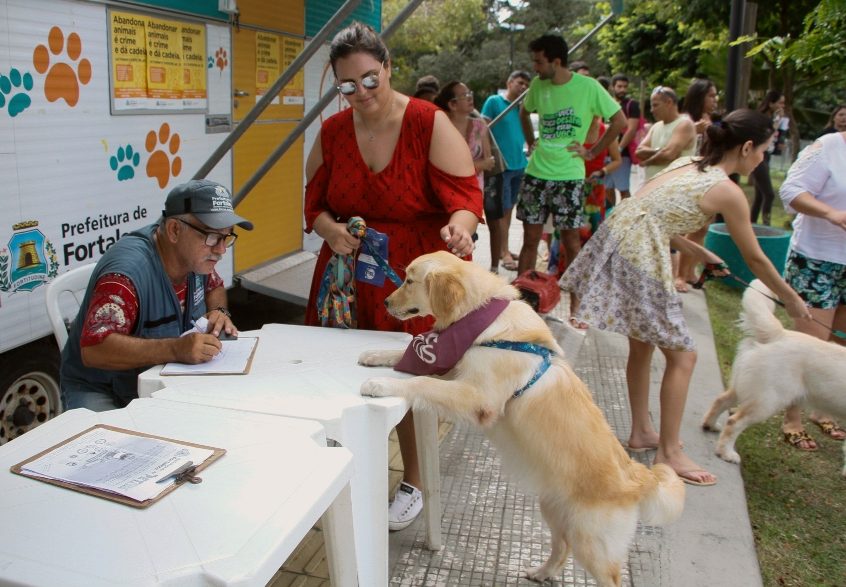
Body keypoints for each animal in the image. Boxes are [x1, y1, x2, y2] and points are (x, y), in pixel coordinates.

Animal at [362, 250, 684, 584]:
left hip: (592, 541)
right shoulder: (460, 372)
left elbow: (423, 382)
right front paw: (374, 355)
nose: (385, 302)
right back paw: (542, 572)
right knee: (561, 548)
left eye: (410, 281)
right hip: (553, 509)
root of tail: (639, 476)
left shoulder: (479, 397)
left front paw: (380, 384)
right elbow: (412, 365)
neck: (482, 318)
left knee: (606, 574)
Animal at [704, 276, 846, 478]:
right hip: (768, 401)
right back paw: (726, 453)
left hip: (749, 388)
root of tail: (780, 334)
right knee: (734, 421)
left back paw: (710, 425)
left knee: (721, 400)